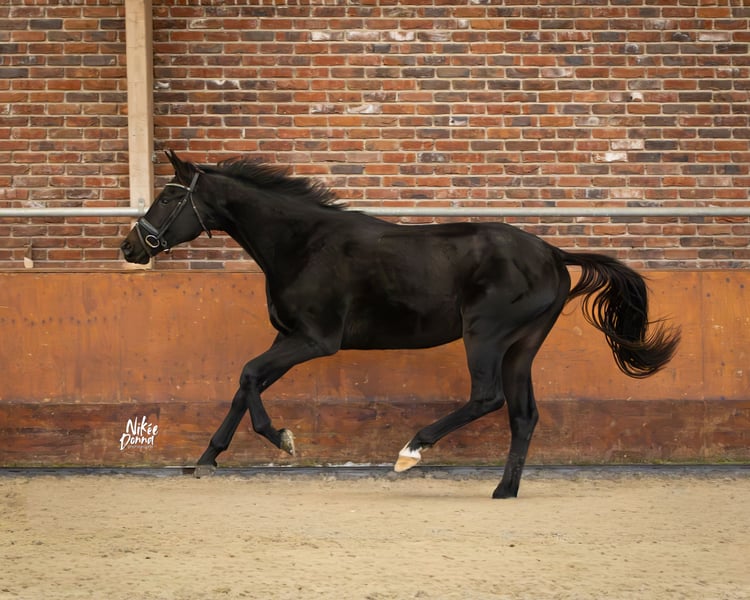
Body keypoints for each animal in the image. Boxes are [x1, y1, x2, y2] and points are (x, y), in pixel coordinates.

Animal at [121, 150, 680, 499]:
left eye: (169, 197)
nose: (131, 246)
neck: (303, 243)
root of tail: (553, 254)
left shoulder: (314, 340)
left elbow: (249, 376)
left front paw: (282, 439)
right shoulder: (289, 336)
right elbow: (246, 382)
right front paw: (207, 458)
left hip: (486, 336)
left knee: (487, 398)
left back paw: (410, 452)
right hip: (522, 346)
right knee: (523, 415)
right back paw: (503, 491)